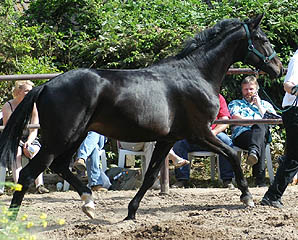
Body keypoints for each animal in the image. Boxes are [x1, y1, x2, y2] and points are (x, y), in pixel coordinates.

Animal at [0, 15, 282, 220]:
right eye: (262, 38)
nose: (278, 68)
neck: (196, 74)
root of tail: (45, 86)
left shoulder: (168, 139)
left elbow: (150, 175)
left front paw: (131, 213)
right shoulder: (199, 132)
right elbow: (232, 154)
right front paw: (247, 197)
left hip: (75, 135)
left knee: (60, 166)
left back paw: (89, 203)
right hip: (62, 137)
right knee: (28, 174)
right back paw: (15, 221)